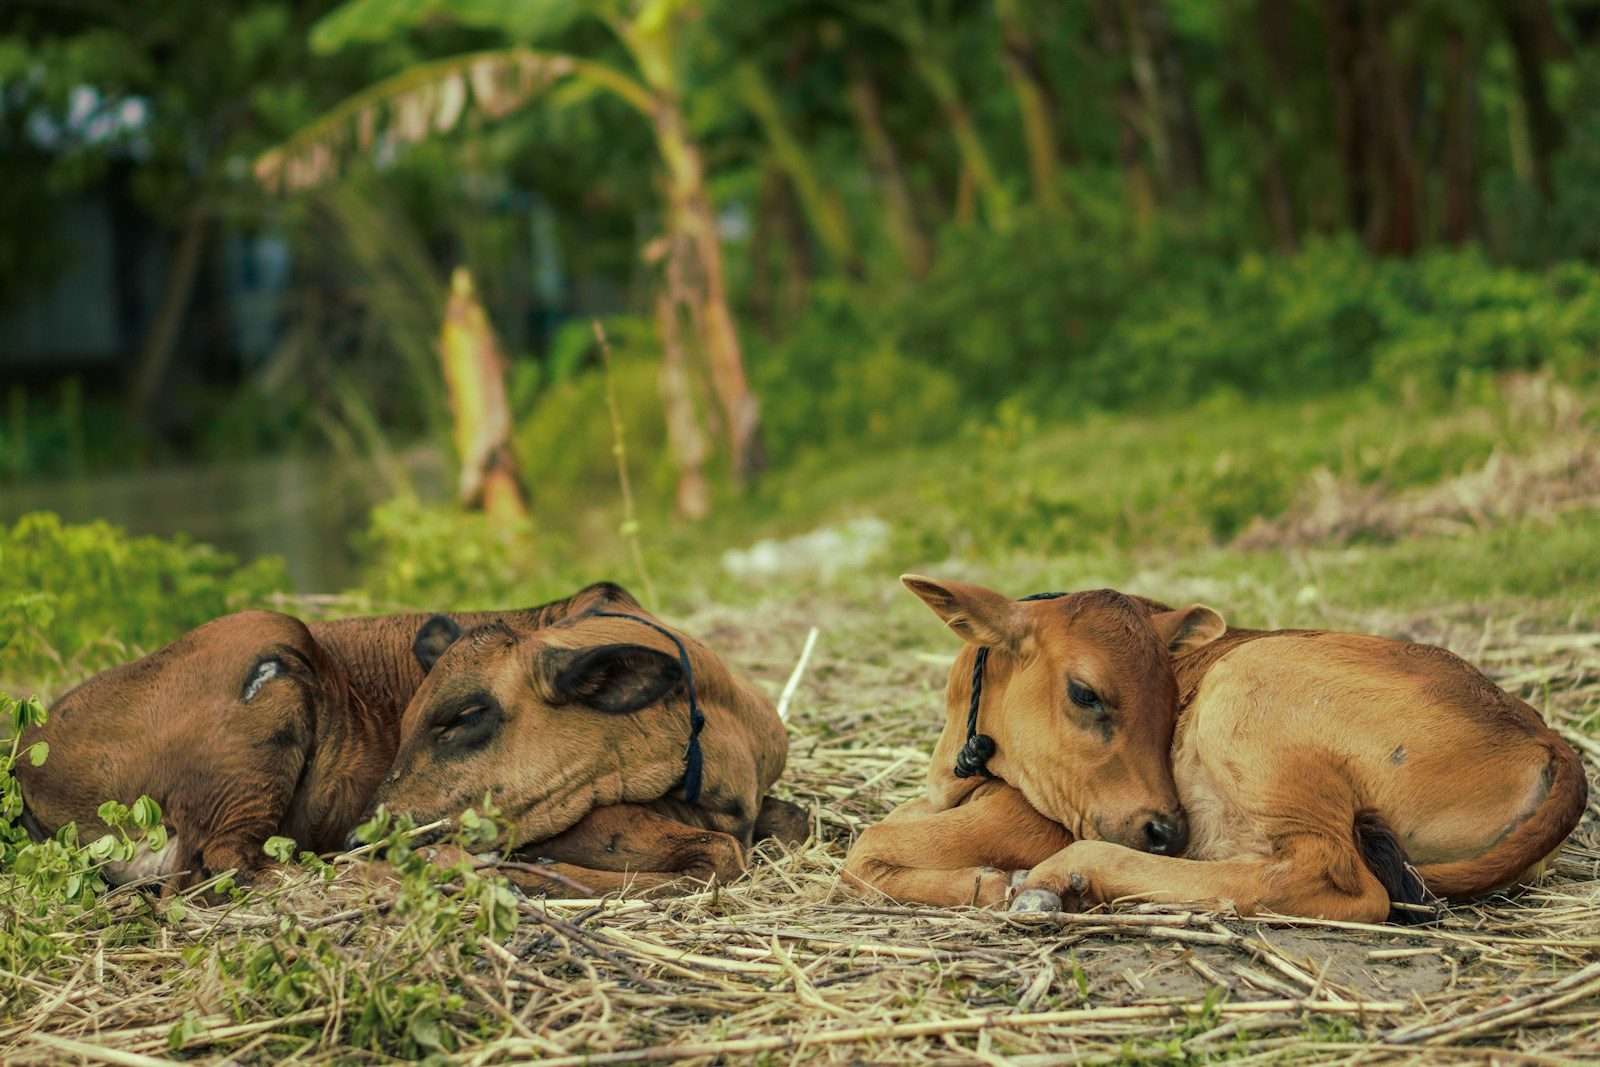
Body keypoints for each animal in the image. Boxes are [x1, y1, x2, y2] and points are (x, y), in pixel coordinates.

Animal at [17, 582, 805, 896]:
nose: (366, 829)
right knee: (235, 866)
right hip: (265, 659)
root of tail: (29, 756)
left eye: (462, 715)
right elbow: (712, 857)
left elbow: (789, 823)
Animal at [842, 576, 1588, 922]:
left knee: (1333, 879)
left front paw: (991, 883)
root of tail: (1545, 733)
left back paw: (1069, 877)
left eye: (1175, 699)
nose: (1166, 829)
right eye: (1084, 692)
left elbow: (863, 849)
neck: (956, 768)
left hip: (1251, 688)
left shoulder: (1032, 816)